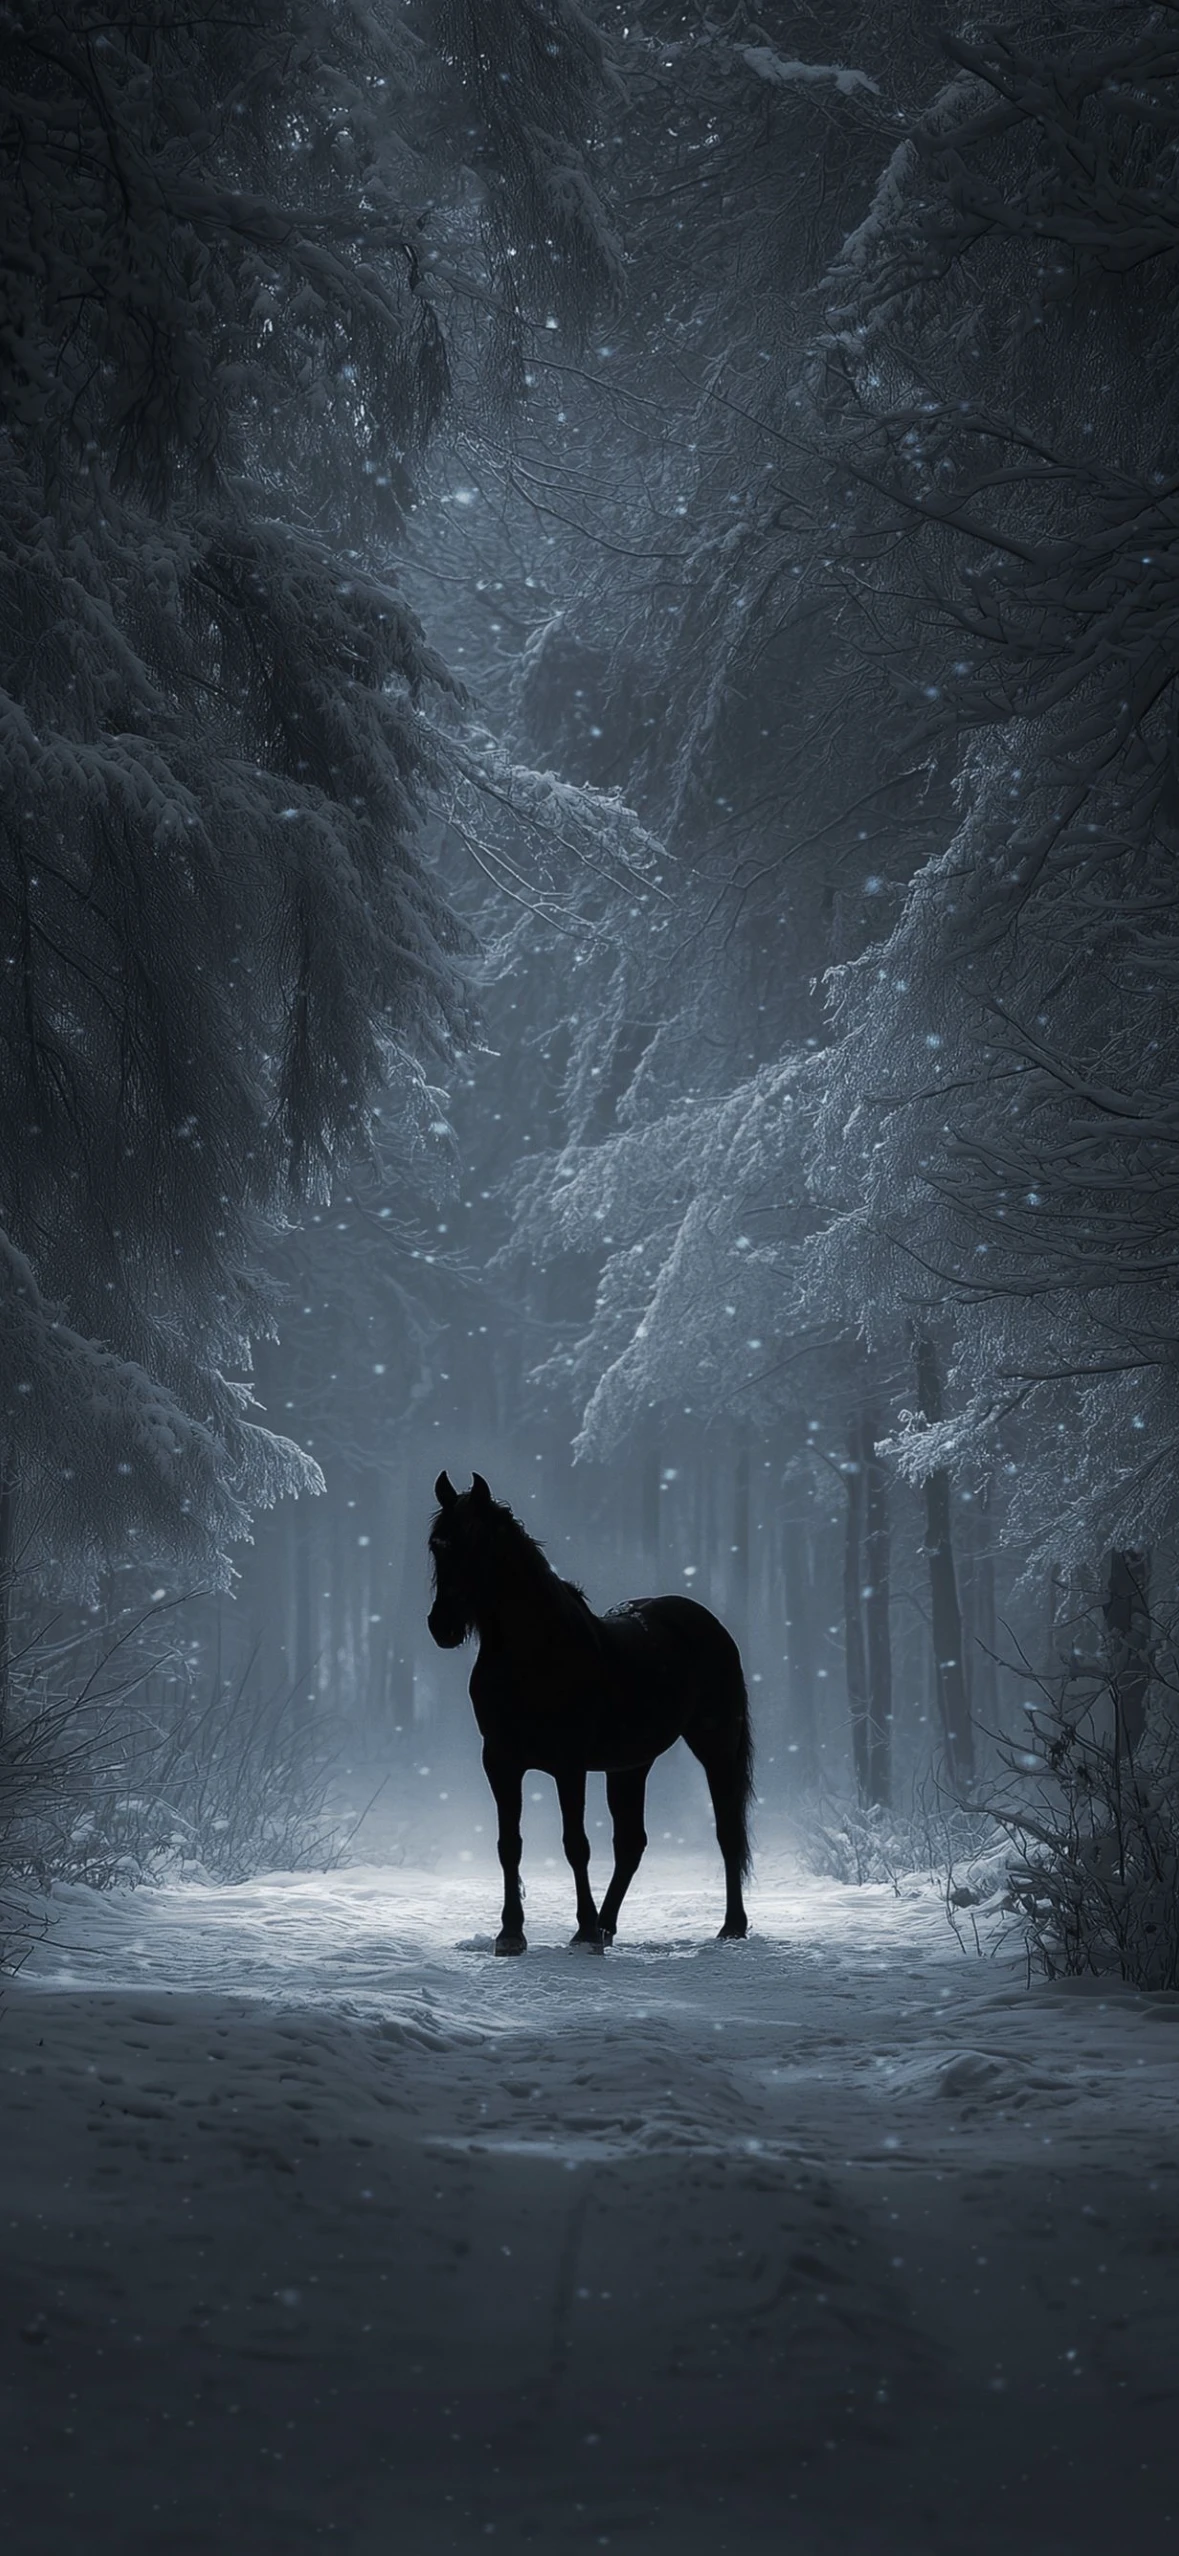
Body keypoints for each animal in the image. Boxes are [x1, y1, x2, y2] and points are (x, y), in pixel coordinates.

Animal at [427, 1469, 754, 1954]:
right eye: (437, 1545)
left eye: (478, 1543)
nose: (442, 1626)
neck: (534, 1655)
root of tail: (706, 1623)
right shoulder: (500, 1762)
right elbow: (509, 1844)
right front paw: (511, 1934)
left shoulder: (569, 1765)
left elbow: (575, 1844)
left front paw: (581, 1931)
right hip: (631, 1765)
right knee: (631, 1843)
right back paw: (607, 1924)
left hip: (715, 1747)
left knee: (727, 1831)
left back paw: (731, 1926)